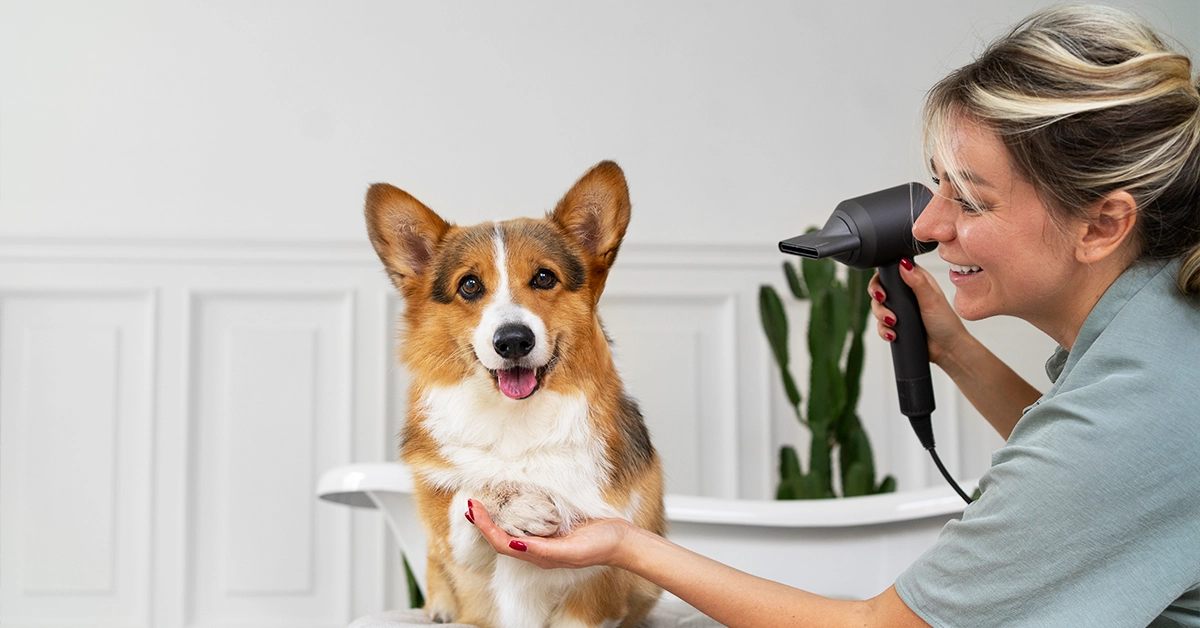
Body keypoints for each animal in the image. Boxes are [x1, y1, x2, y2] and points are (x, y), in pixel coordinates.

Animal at [364, 162, 667, 628]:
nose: (512, 341)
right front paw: (513, 504)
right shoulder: (462, 559)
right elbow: (470, 494)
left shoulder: (596, 592)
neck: (515, 418)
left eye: (544, 277)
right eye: (470, 285)